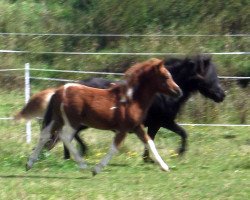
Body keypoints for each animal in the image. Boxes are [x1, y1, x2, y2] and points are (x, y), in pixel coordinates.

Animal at [25, 58, 182, 175]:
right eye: (166, 76)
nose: (178, 91)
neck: (131, 100)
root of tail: (59, 91)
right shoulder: (123, 129)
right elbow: (114, 148)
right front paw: (96, 169)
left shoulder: (137, 126)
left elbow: (149, 142)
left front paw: (164, 166)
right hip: (71, 122)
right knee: (65, 137)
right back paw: (83, 165)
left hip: (57, 119)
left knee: (45, 135)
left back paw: (29, 163)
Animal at [63, 54, 226, 161]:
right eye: (210, 75)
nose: (222, 95)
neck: (162, 94)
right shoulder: (164, 122)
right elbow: (182, 133)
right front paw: (179, 153)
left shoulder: (157, 124)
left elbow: (152, 139)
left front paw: (147, 159)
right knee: (68, 134)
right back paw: (77, 153)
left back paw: (71, 155)